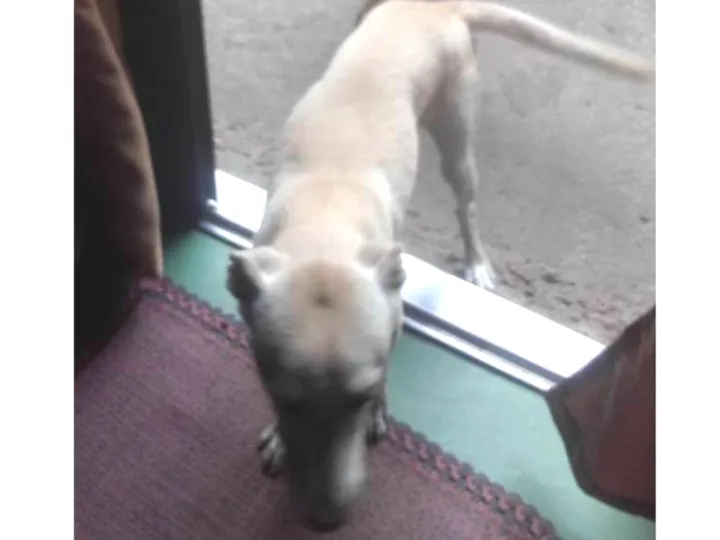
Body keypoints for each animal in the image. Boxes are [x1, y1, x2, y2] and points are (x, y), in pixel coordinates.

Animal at [227, 0, 653, 531]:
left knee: (466, 205)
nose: (326, 519)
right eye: (282, 395)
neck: (326, 217)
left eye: (362, 395)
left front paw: (379, 412)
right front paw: (281, 437)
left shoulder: (391, 321)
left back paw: (476, 262)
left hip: (457, 139)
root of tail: (434, 6)